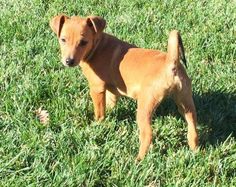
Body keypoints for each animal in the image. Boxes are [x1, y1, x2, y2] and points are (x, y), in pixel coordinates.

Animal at [50, 15, 199, 160]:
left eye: (83, 42)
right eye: (63, 40)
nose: (68, 61)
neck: (98, 46)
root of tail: (171, 63)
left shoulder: (96, 88)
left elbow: (99, 111)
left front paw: (97, 125)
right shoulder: (112, 89)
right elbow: (110, 102)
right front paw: (110, 113)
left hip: (145, 106)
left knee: (147, 134)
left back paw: (138, 159)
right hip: (185, 101)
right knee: (193, 127)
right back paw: (195, 151)